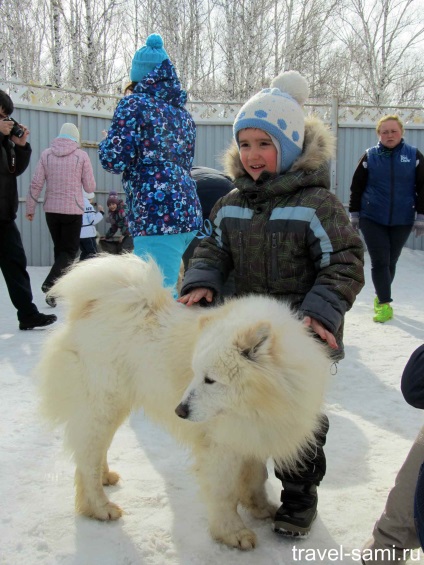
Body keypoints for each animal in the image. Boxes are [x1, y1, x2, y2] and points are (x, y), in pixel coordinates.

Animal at [38, 253, 332, 548]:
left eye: (210, 380)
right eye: (196, 373)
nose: (179, 411)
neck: (265, 398)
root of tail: (92, 306)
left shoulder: (251, 433)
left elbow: (256, 478)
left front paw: (261, 508)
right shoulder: (221, 444)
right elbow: (224, 492)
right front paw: (232, 532)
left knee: (95, 450)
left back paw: (105, 477)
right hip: (102, 404)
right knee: (86, 459)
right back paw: (99, 507)